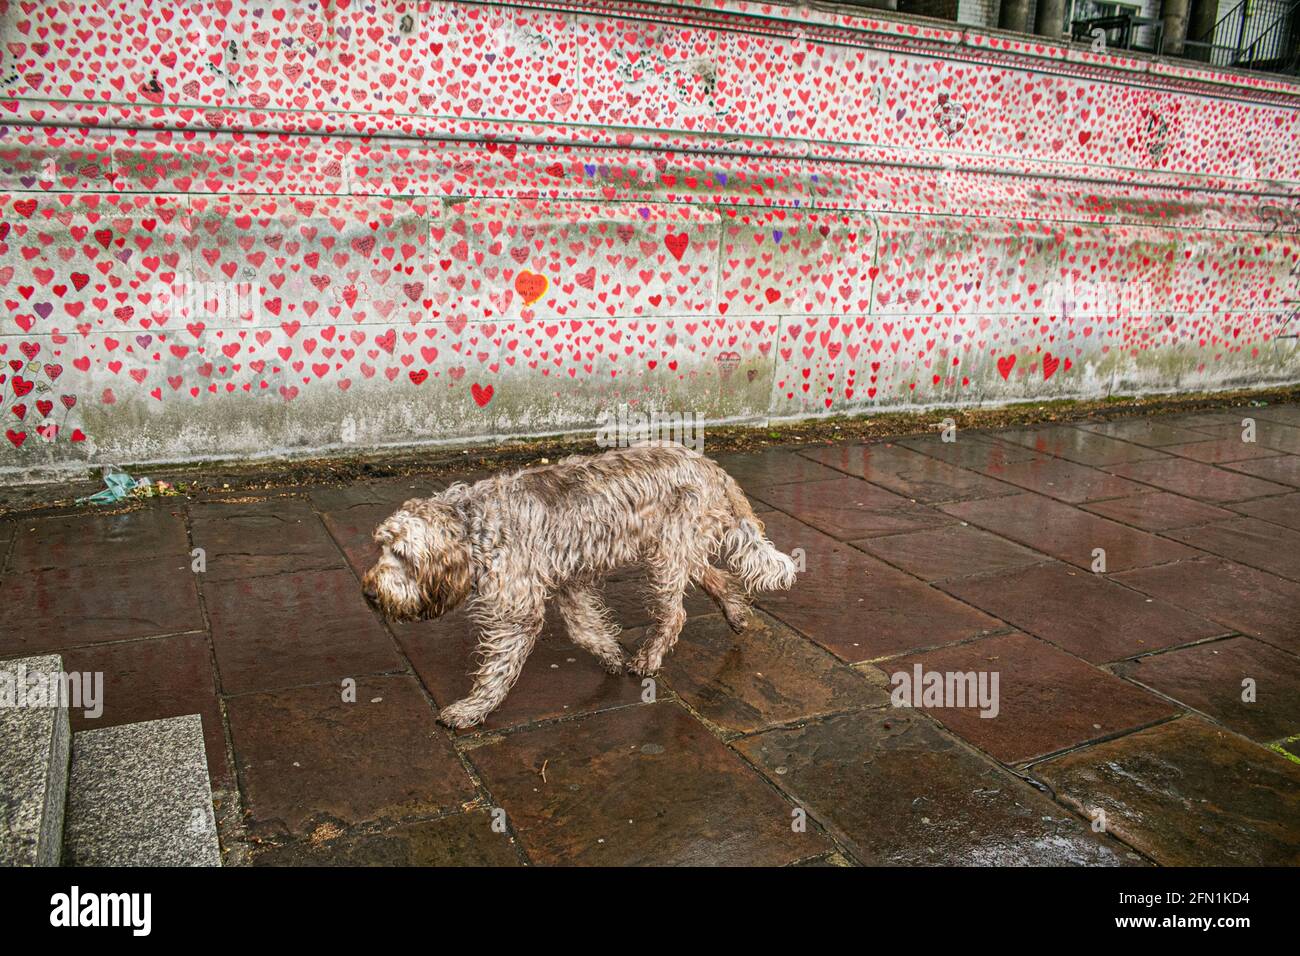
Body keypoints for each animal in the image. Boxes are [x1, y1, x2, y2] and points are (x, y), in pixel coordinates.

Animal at [361, 444, 795, 728]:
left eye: (402, 555)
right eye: (381, 546)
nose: (368, 593)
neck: (475, 527)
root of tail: (710, 466)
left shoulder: (518, 612)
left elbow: (497, 669)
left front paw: (472, 709)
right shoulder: (570, 584)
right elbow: (585, 628)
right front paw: (611, 654)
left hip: (668, 555)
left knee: (675, 614)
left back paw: (650, 657)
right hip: (679, 551)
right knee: (717, 578)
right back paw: (736, 614)